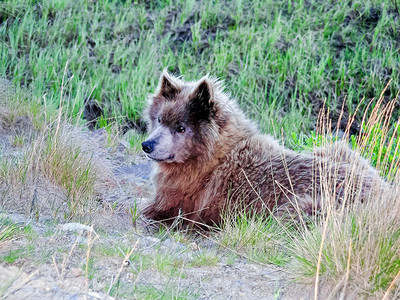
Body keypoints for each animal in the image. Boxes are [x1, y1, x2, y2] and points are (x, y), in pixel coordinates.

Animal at [141, 71, 384, 225]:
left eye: (181, 127)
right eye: (160, 119)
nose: (147, 145)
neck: (210, 159)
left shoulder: (184, 195)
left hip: (310, 205)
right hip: (341, 151)